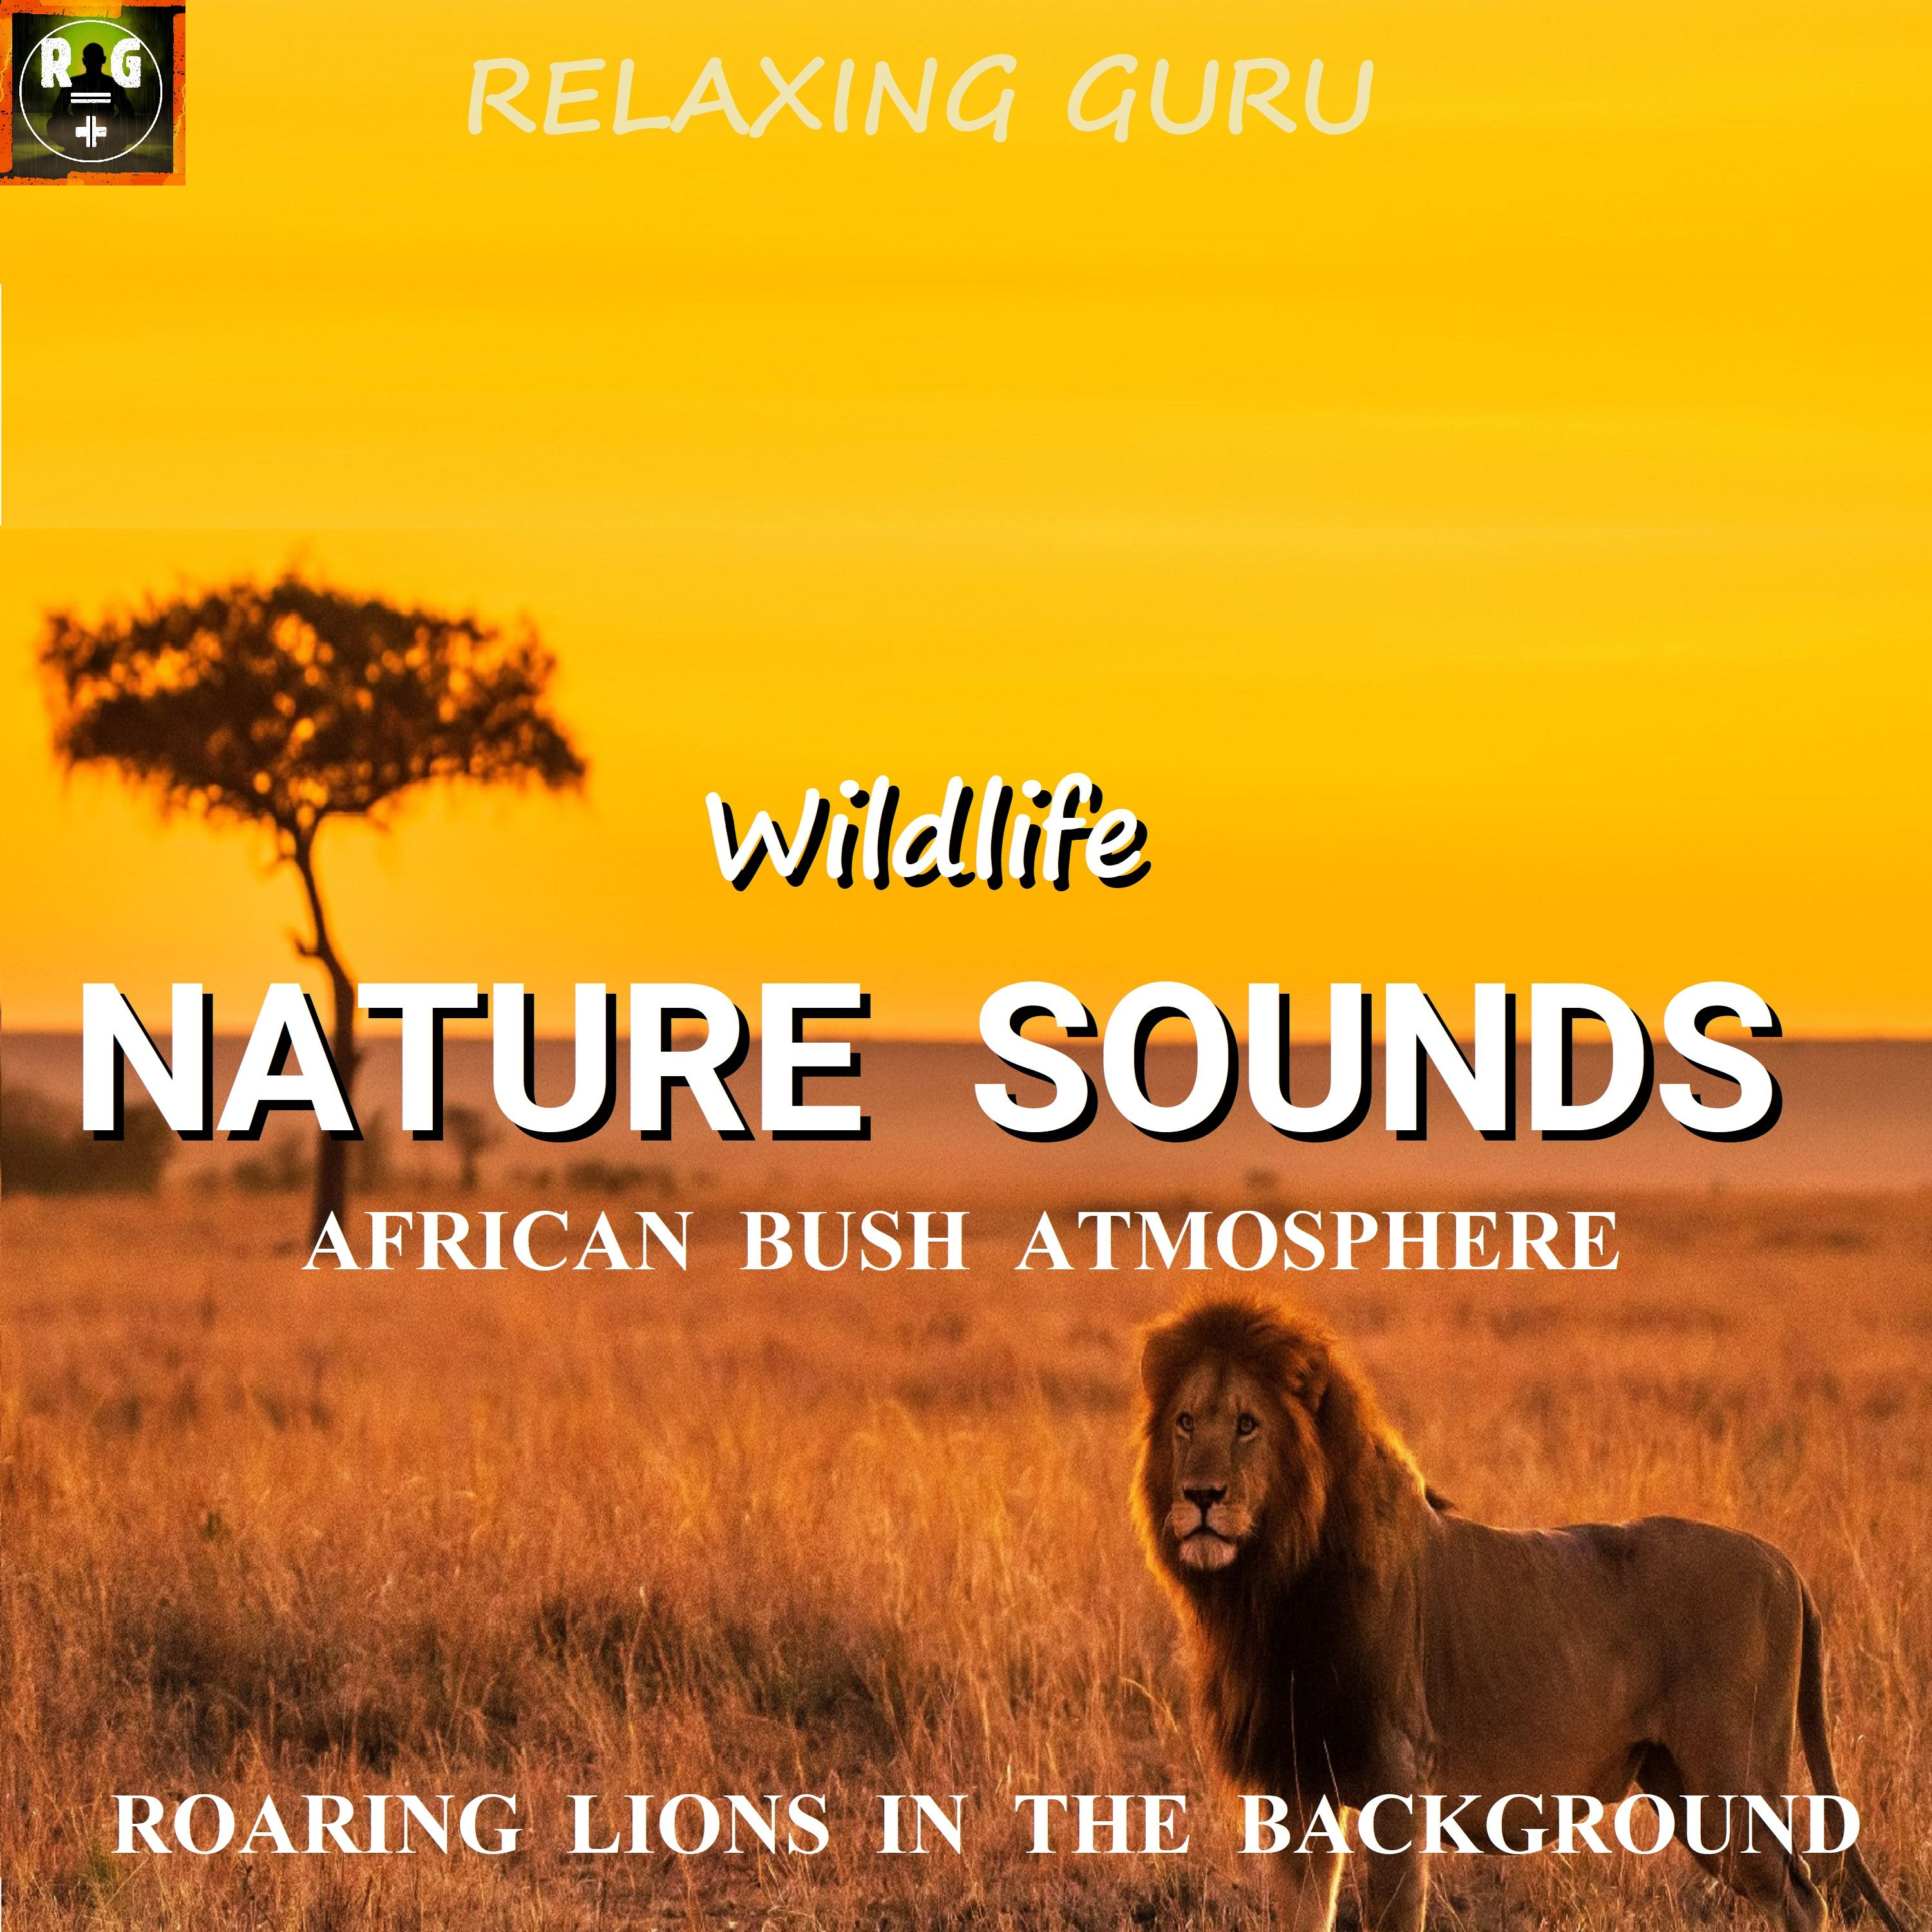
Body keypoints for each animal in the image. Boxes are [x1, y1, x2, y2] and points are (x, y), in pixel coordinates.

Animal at [1132, 1292, 1910, 1932]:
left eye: (1247, 1425)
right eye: (1185, 1422)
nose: (1201, 1496)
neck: (1268, 1588)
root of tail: (1782, 1562)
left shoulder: (1397, 1778)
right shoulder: (1295, 1792)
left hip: (1731, 1775)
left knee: (1802, 1894)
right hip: (1681, 1786)